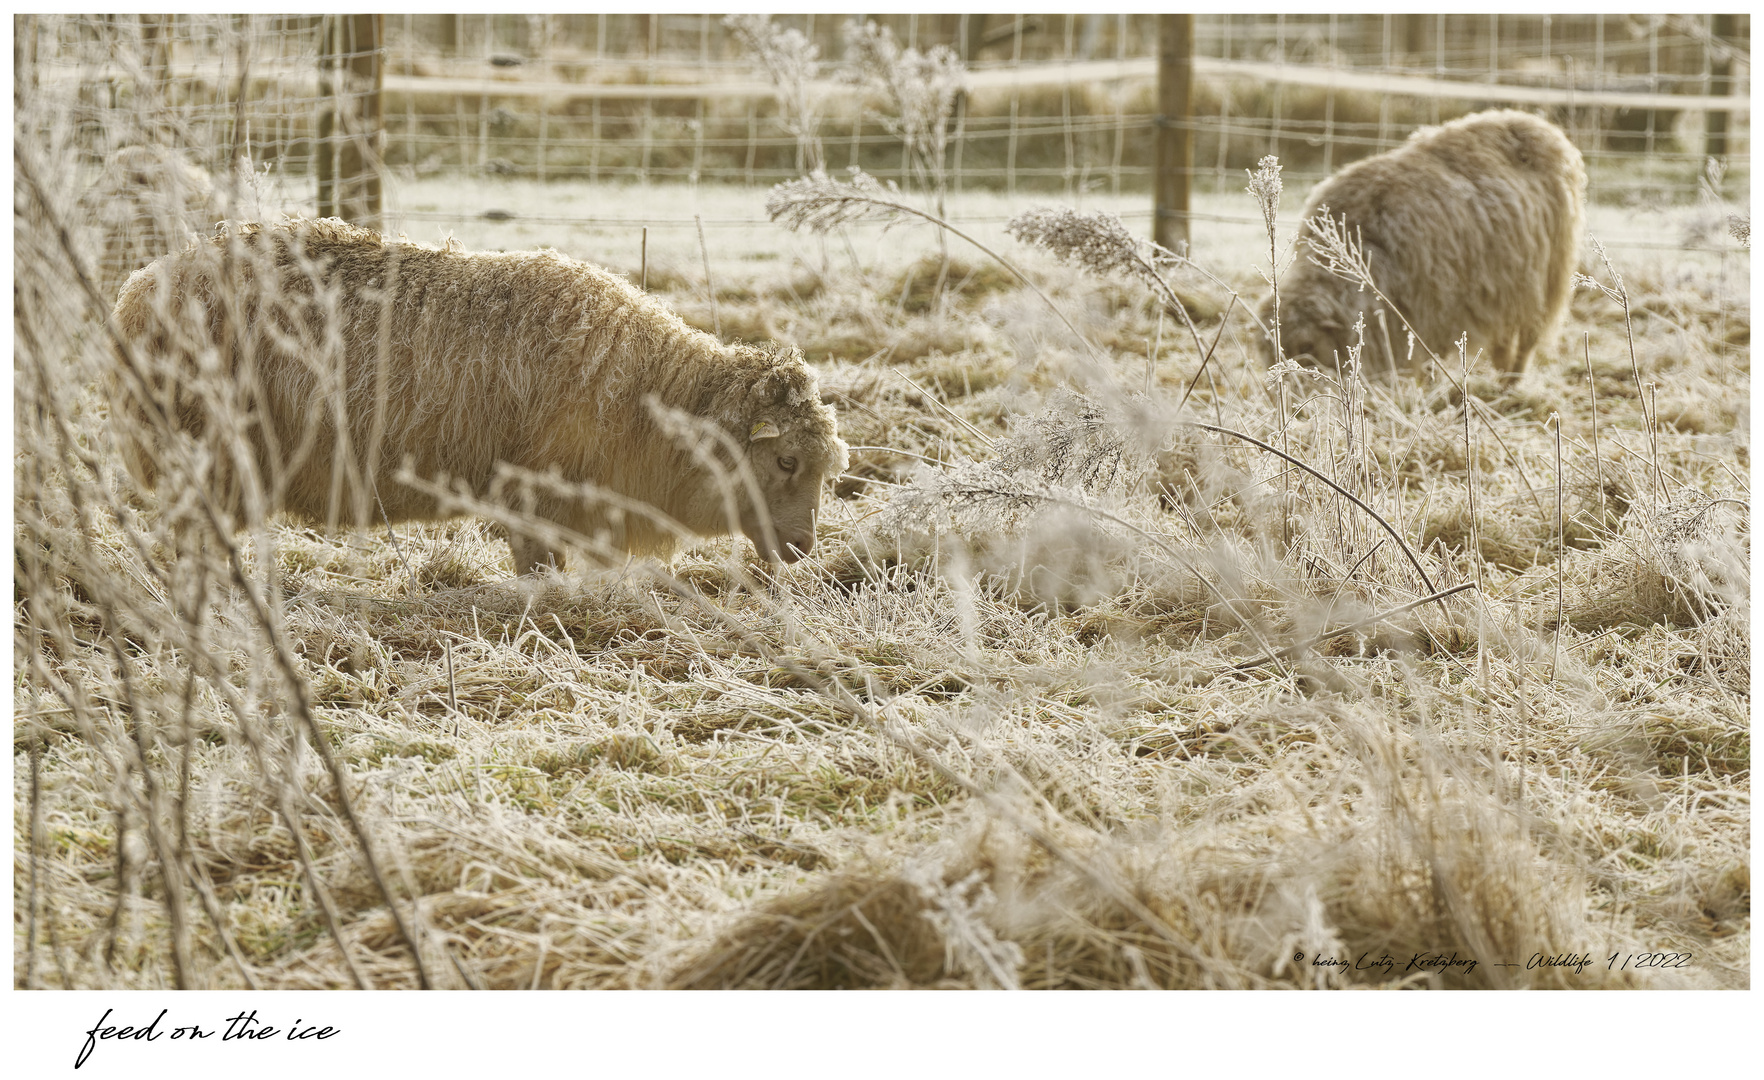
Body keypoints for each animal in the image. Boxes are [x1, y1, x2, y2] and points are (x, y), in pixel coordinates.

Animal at [108, 217, 846, 575]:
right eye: (785, 461)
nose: (804, 548)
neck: (649, 395)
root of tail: (138, 287)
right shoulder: (534, 493)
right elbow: (539, 569)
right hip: (205, 456)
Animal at [1255, 108, 1587, 379]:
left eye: (1308, 346)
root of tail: (1539, 124)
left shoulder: (1431, 312)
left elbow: (1428, 361)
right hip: (1508, 290)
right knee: (1504, 341)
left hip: (1546, 278)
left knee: (1526, 343)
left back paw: (1510, 384)